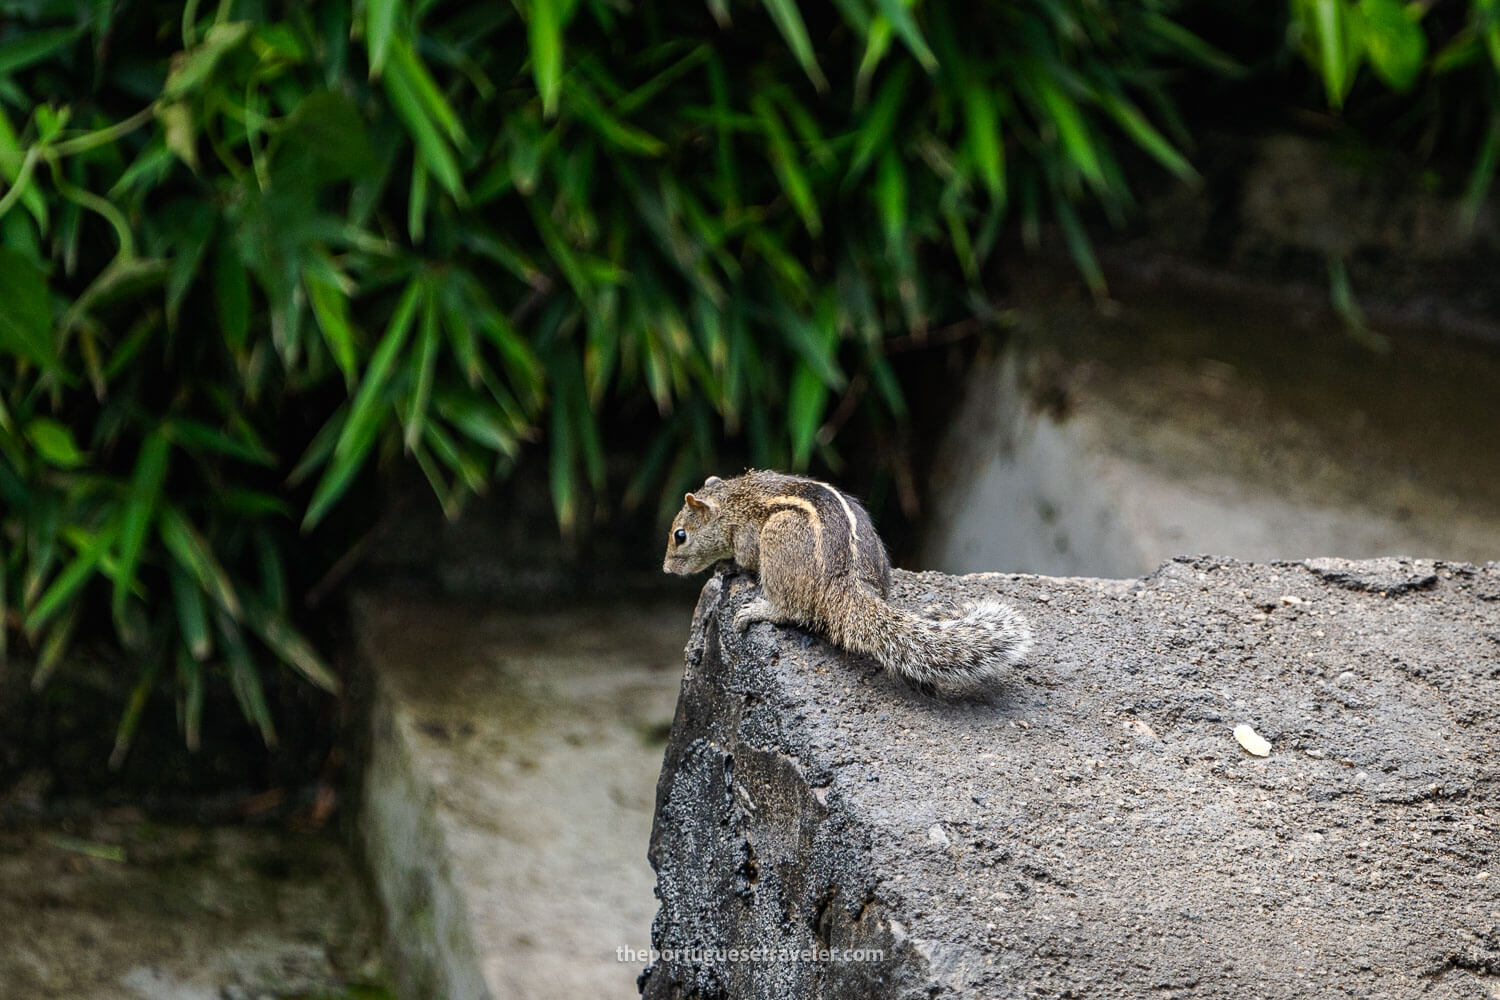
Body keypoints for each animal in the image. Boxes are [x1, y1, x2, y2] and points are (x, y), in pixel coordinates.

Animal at [666, 470, 1032, 695]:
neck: (733, 499)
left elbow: (743, 561)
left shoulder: (747, 538)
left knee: (792, 610)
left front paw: (725, 566)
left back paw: (758, 610)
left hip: (778, 538)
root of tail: (844, 586)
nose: (667, 568)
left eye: (680, 536)